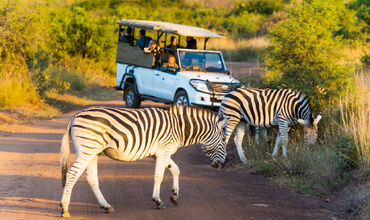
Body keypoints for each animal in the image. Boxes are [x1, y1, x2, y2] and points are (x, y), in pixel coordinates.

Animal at [59, 104, 227, 217]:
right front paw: (158, 201)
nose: (223, 165)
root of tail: (75, 116)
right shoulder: (164, 151)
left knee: (92, 179)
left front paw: (174, 195)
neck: (179, 128)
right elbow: (159, 176)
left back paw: (105, 206)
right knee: (72, 174)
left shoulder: (161, 154)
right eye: (223, 140)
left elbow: (176, 169)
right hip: (87, 150)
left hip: (93, 152)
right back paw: (64, 208)